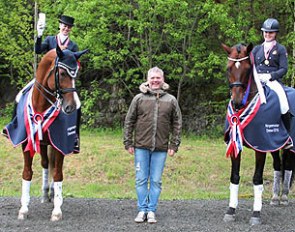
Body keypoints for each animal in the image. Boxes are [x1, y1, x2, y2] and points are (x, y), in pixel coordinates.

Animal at [2, 44, 88, 220]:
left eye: (76, 74)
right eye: (62, 73)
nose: (70, 107)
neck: (41, 105)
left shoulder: (60, 143)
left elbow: (58, 174)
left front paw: (57, 211)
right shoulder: (27, 143)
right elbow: (27, 173)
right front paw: (23, 209)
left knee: (53, 167)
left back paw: (54, 194)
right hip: (42, 144)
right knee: (46, 164)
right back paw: (45, 193)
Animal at [223, 43, 294, 225]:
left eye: (248, 69)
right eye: (228, 68)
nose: (236, 102)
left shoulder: (260, 146)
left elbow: (257, 179)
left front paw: (256, 214)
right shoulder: (236, 145)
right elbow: (234, 176)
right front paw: (231, 210)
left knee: (288, 166)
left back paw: (284, 197)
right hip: (275, 145)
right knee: (278, 165)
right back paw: (275, 198)